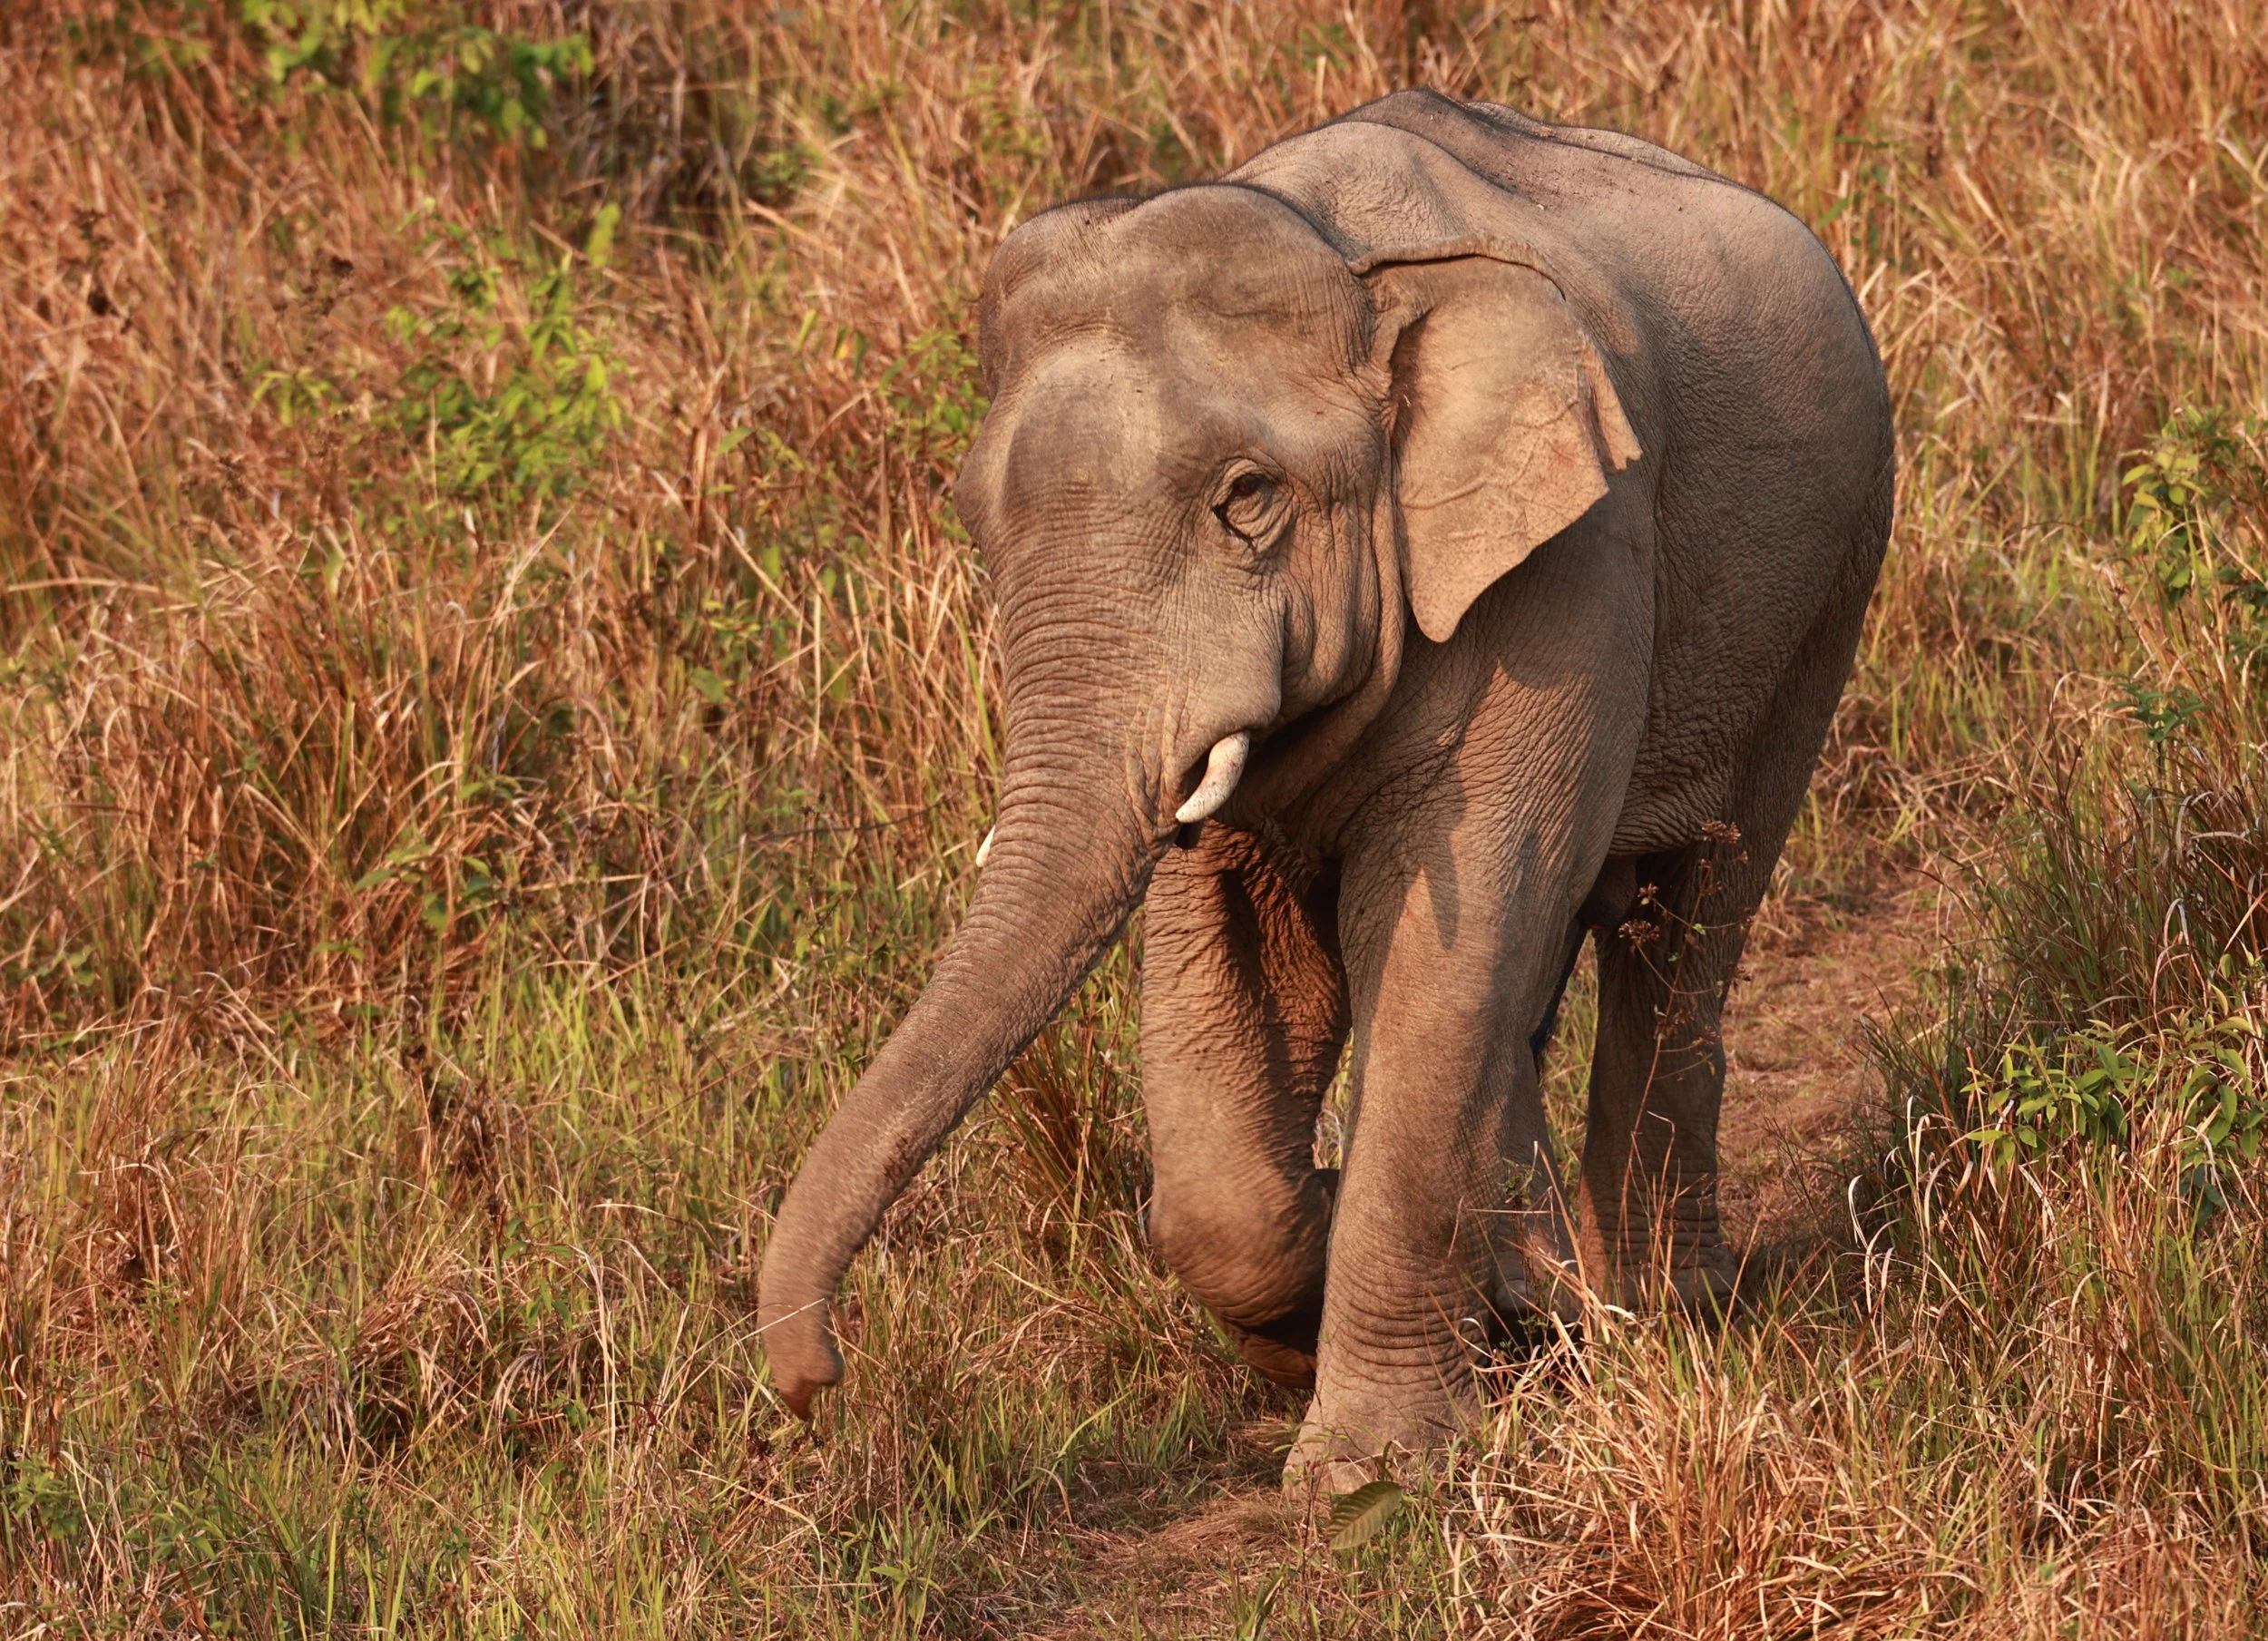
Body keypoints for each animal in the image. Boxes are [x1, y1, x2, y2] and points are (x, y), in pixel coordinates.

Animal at [756, 89, 1893, 1486]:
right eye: (977, 521)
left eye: (1248, 499)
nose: (817, 1384)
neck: (1348, 269)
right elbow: (1239, 972)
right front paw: (1313, 1313)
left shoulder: (1573, 557)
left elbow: (1443, 933)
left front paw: (1366, 1473)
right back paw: (1540, 1304)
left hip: (1826, 594)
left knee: (1688, 920)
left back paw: (1659, 1311)